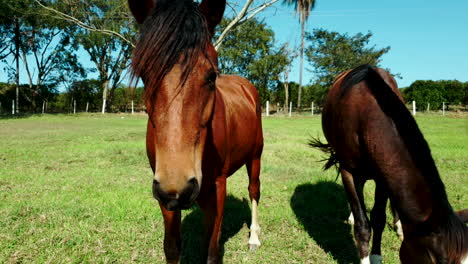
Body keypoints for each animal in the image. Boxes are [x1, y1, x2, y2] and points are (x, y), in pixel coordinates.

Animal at [127, 1, 264, 262]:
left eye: (211, 76)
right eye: (144, 75)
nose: (179, 187)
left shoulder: (218, 186)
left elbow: (211, 250)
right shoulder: (166, 196)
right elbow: (172, 248)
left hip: (255, 157)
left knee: (254, 190)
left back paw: (254, 237)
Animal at [312, 64, 466, 264]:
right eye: (441, 261)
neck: (364, 114)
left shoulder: (384, 174)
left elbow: (378, 219)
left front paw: (377, 255)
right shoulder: (349, 171)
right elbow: (362, 225)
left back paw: (399, 225)